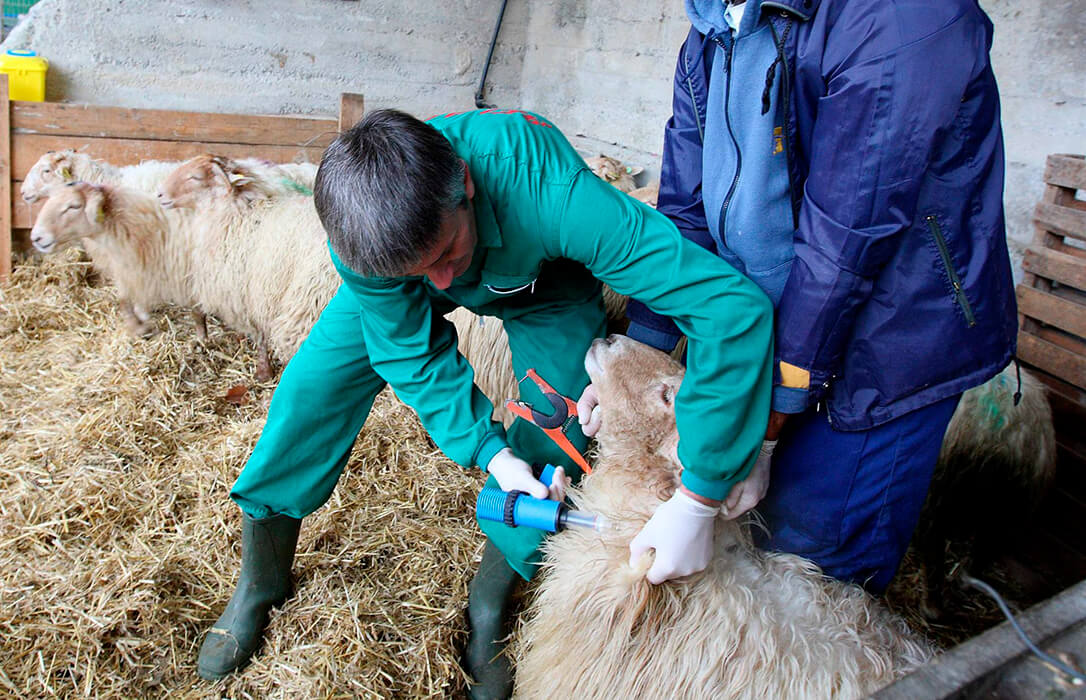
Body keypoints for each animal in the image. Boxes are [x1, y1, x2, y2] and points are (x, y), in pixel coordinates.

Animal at [28, 181, 196, 336]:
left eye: (74, 206)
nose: (36, 237)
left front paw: (140, 325)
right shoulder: (128, 268)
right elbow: (124, 298)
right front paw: (137, 324)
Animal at [912, 362, 1055, 620]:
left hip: (933, 489)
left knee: (932, 546)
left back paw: (932, 607)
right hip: (1014, 501)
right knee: (988, 545)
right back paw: (964, 582)